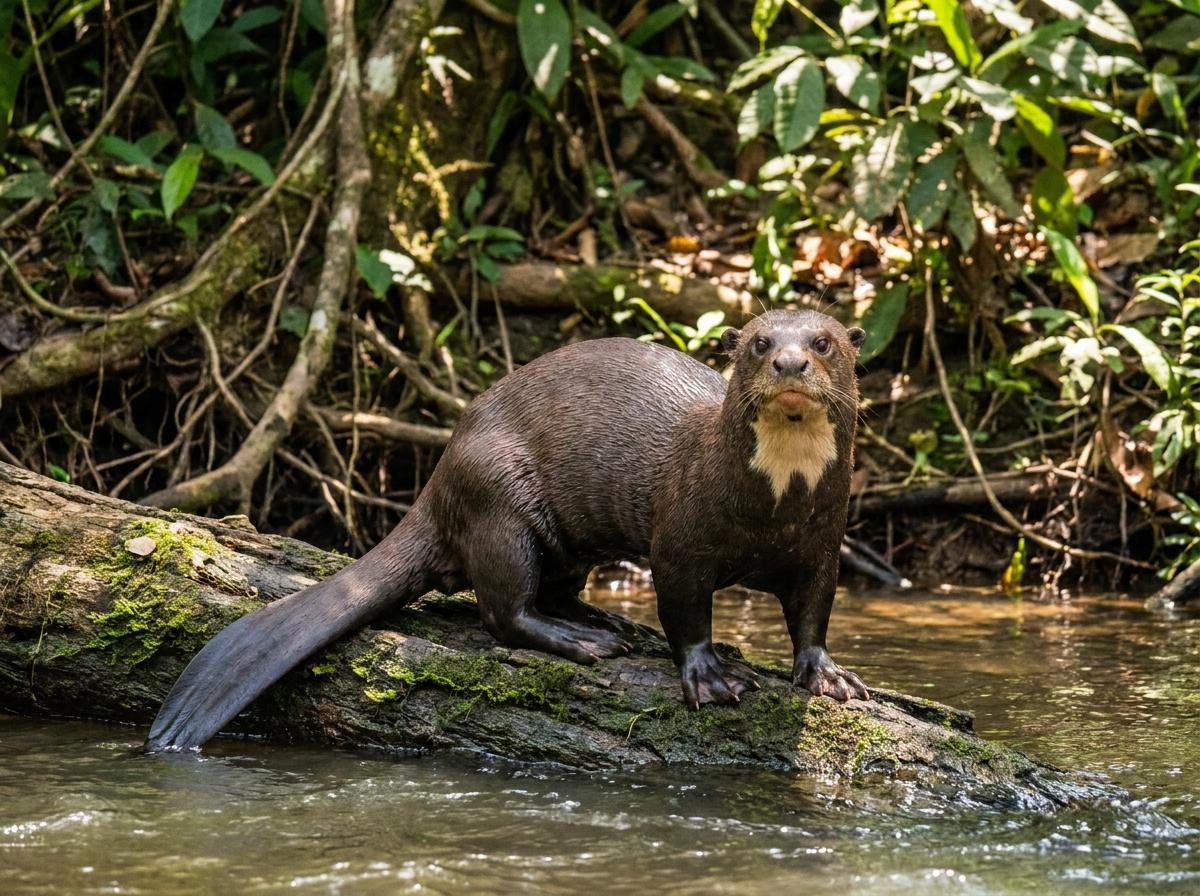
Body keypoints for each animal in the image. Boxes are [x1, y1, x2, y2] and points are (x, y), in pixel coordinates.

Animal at [146, 309, 869, 751]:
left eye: (823, 342)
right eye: (759, 343)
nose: (790, 365)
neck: (775, 508)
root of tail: (440, 478)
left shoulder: (823, 542)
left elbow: (813, 613)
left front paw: (829, 675)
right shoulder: (681, 537)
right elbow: (685, 609)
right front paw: (710, 675)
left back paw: (604, 620)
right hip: (502, 500)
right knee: (502, 608)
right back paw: (583, 640)